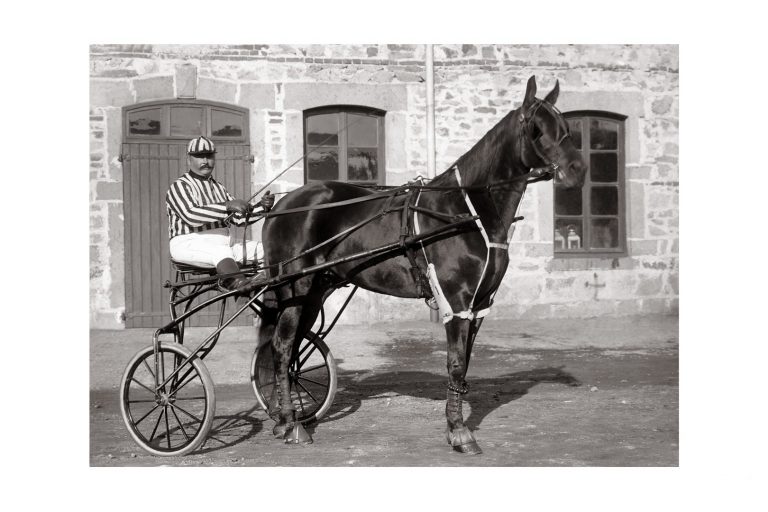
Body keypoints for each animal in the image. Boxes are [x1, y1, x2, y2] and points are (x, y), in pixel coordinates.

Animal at [255, 75, 584, 452]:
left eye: (566, 127)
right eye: (536, 129)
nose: (578, 170)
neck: (464, 210)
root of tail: (282, 205)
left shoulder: (479, 304)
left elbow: (464, 363)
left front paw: (455, 425)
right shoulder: (457, 301)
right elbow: (455, 363)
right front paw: (459, 431)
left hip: (313, 292)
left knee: (292, 346)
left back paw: (283, 418)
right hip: (294, 288)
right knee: (282, 347)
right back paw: (291, 424)